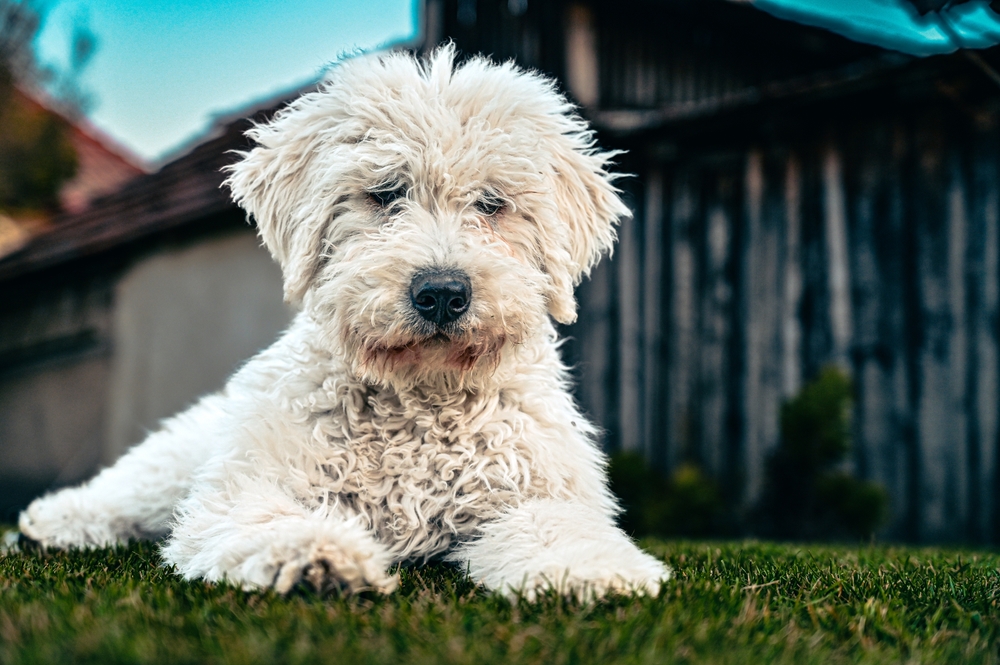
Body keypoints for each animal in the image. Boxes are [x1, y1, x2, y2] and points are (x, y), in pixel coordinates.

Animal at [15, 45, 668, 596]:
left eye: (491, 203)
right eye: (384, 194)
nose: (441, 293)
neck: (419, 400)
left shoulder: (534, 489)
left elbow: (557, 525)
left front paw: (592, 573)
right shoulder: (247, 486)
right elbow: (264, 518)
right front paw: (315, 556)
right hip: (186, 457)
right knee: (129, 489)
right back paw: (52, 521)